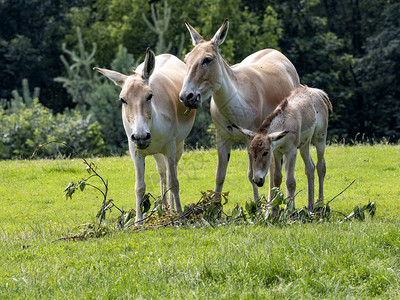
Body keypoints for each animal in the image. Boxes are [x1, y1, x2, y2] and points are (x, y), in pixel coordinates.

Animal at [94, 49, 194, 221]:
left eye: (149, 96)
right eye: (123, 100)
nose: (141, 136)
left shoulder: (171, 147)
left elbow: (174, 183)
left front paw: (180, 217)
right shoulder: (136, 151)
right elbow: (139, 187)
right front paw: (138, 221)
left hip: (178, 146)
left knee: (170, 172)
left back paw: (172, 210)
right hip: (156, 153)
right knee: (162, 173)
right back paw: (164, 209)